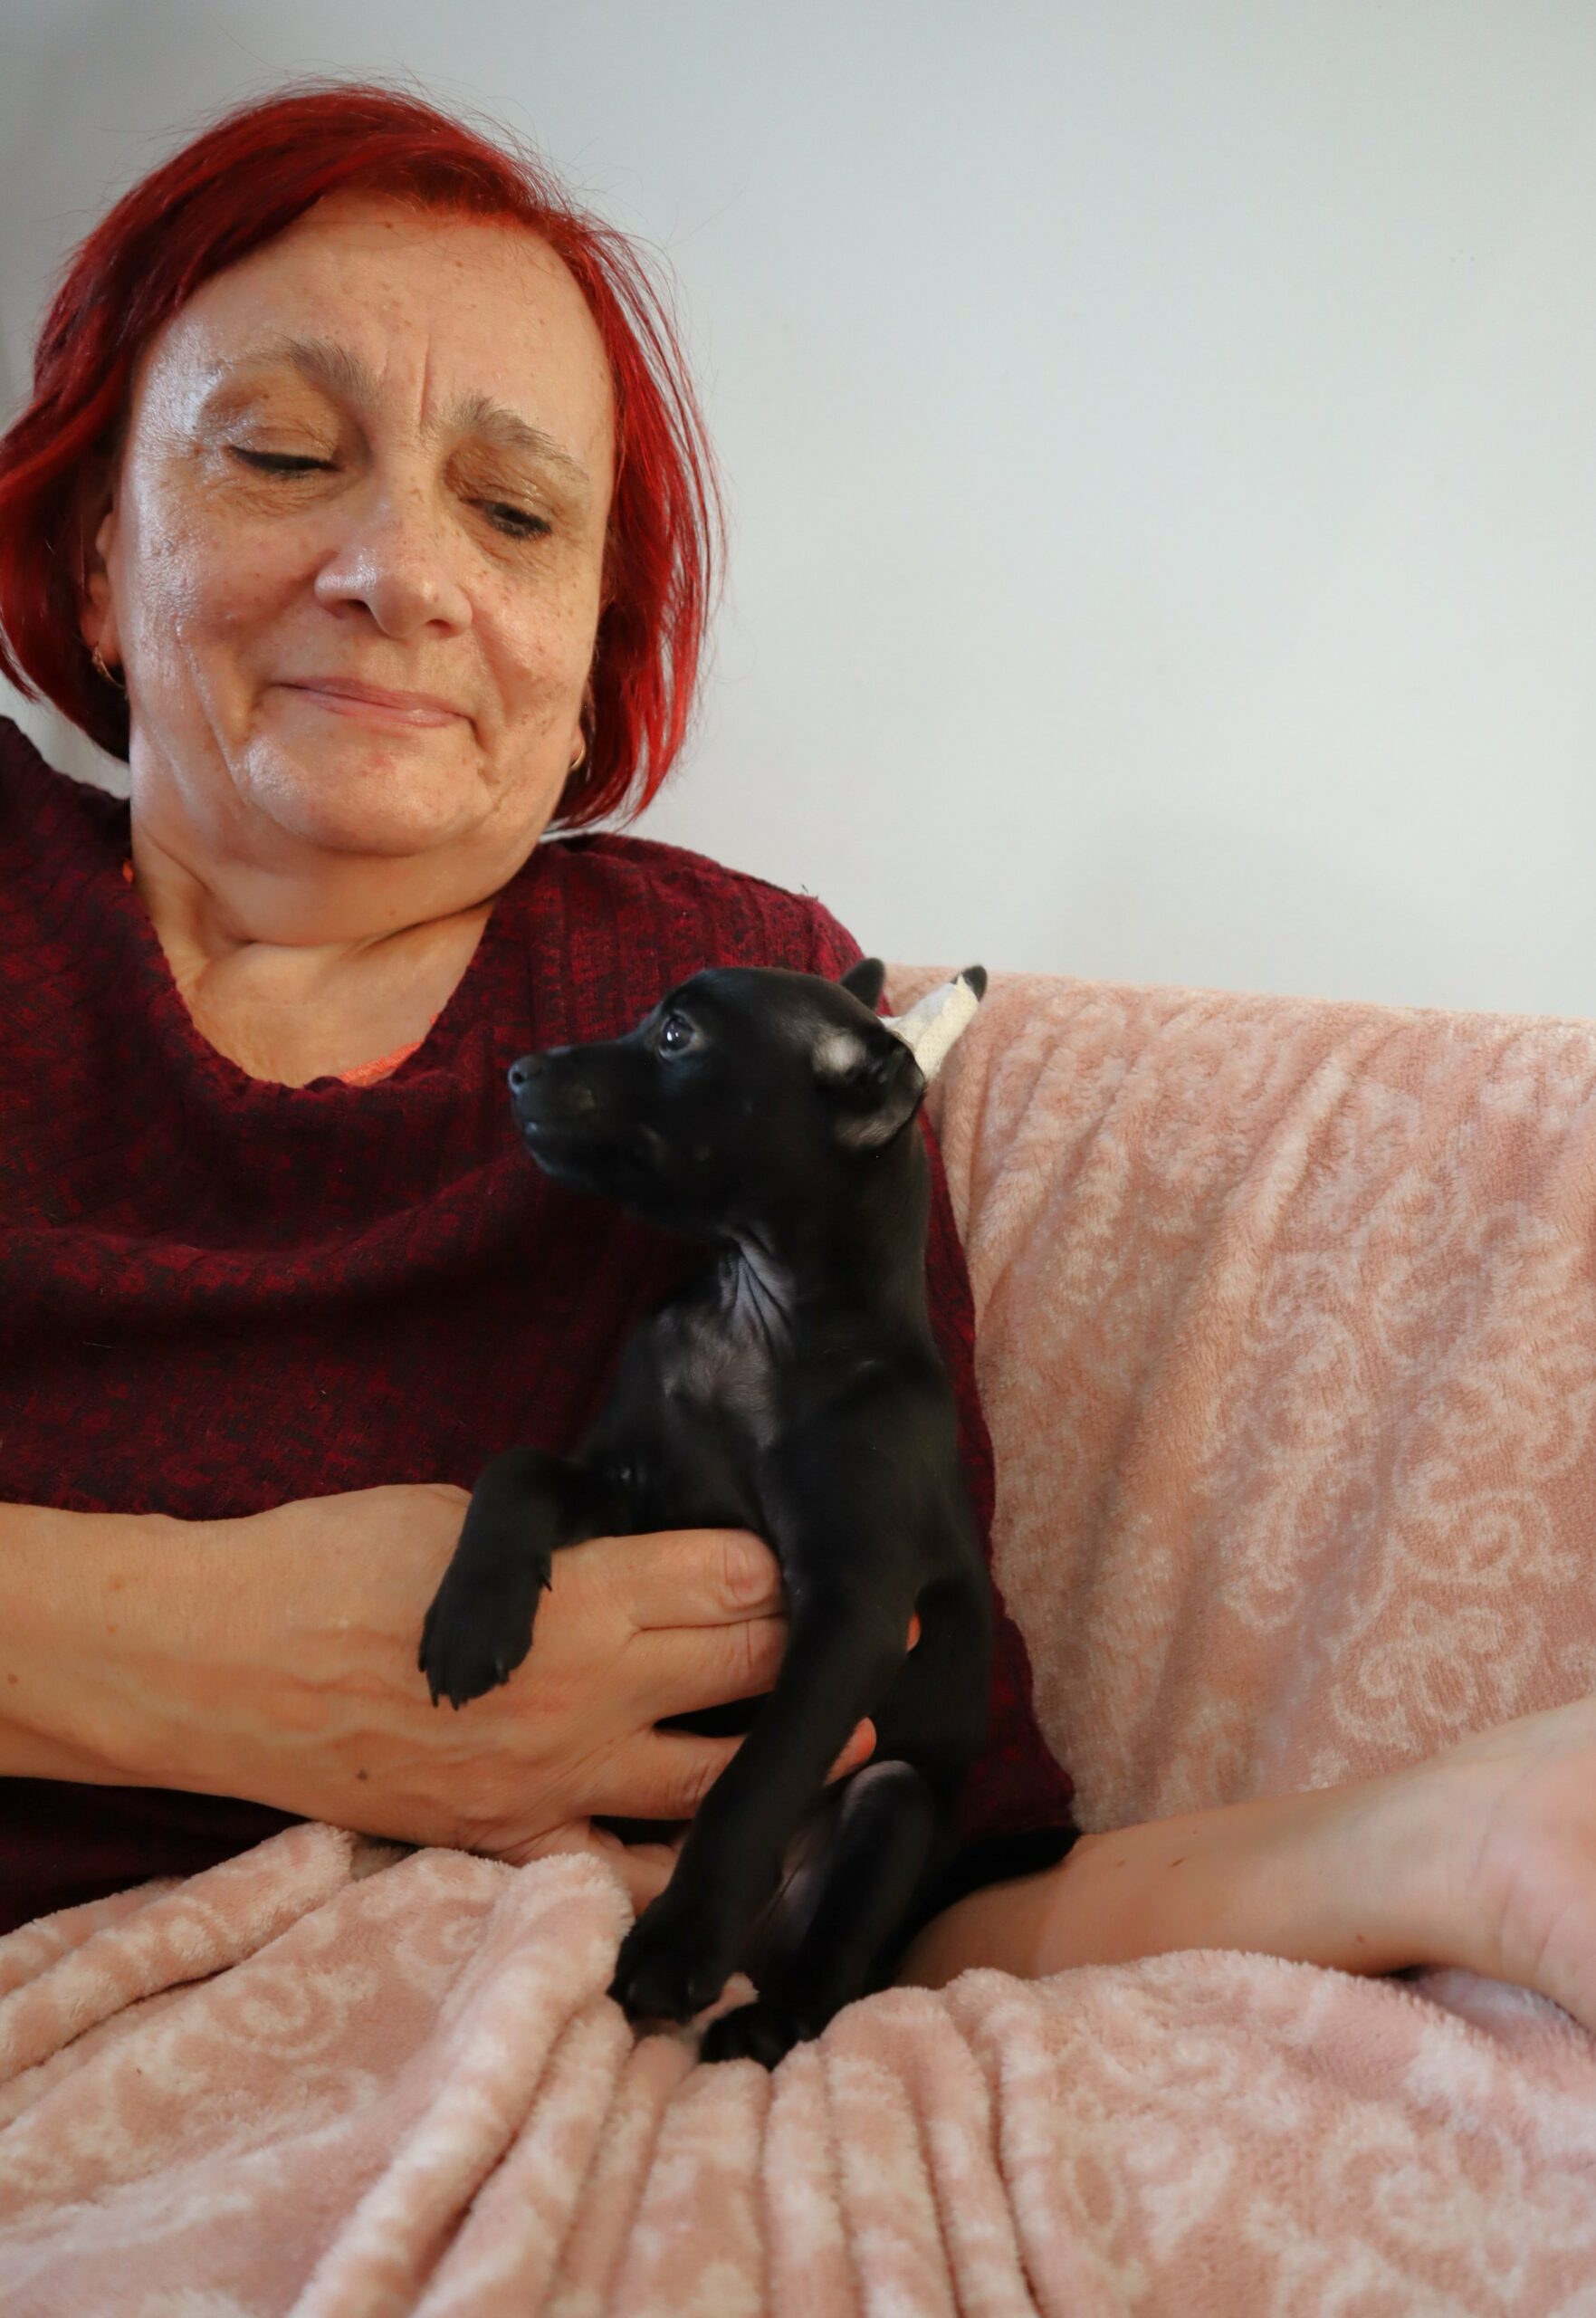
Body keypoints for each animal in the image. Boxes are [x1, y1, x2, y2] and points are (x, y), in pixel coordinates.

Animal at [418, 956, 1072, 2067]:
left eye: (677, 1036)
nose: (518, 1070)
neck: (753, 1314)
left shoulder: (854, 1614)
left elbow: (755, 1777)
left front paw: (679, 1937)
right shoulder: (630, 1489)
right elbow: (516, 1470)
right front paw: (471, 1617)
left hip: (893, 1810)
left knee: (827, 1985)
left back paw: (758, 2022)